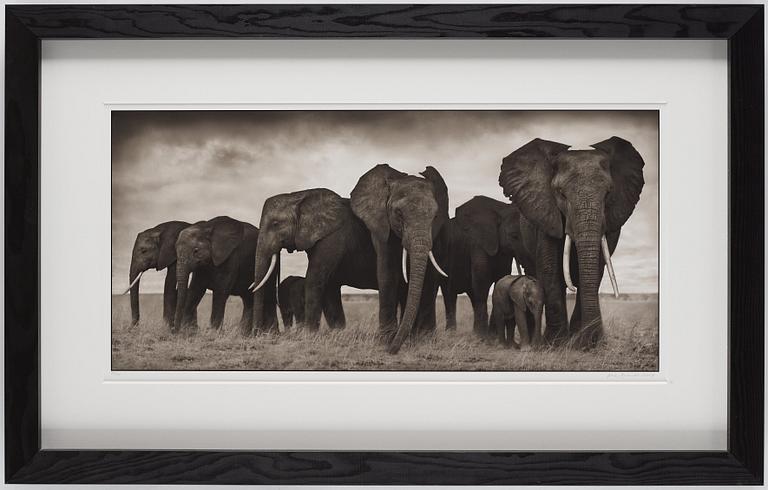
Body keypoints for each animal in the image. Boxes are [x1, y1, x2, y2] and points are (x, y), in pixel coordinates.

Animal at [352, 164, 452, 352]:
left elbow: (429, 276)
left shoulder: (436, 235)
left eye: (435, 216)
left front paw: (425, 340)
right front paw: (385, 340)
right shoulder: (381, 226)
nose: (391, 351)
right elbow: (387, 273)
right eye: (398, 213)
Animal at [438, 197, 536, 334]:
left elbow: (501, 279)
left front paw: (492, 336)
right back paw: (452, 334)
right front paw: (482, 337)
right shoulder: (478, 244)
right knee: (449, 294)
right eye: (514, 235)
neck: (501, 210)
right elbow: (481, 279)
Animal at [500, 136, 644, 346]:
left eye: (609, 193)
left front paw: (583, 343)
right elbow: (549, 268)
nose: (593, 340)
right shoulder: (545, 212)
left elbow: (596, 268)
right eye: (561, 193)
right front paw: (556, 343)